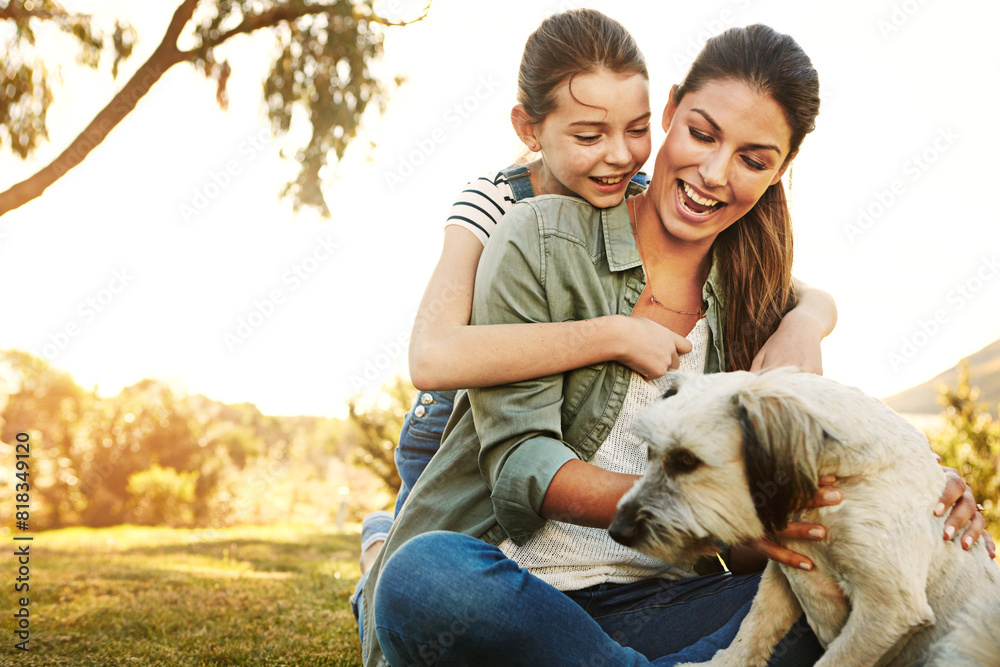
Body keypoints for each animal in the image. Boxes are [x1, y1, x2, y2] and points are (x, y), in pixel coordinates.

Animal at [608, 370, 1000, 667]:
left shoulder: (889, 608)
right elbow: (753, 629)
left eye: (687, 460)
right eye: (650, 452)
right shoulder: (785, 573)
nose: (617, 531)